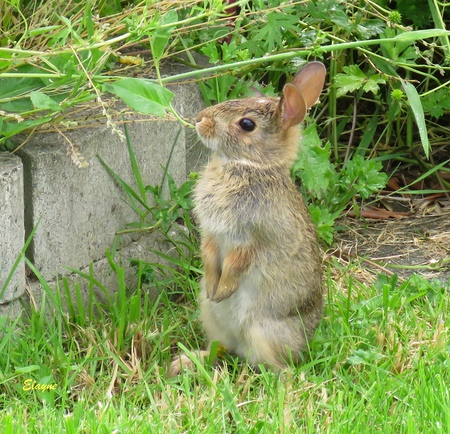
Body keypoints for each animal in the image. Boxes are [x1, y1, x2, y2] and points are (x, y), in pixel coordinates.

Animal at [170, 61, 326, 376]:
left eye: (246, 125)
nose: (200, 119)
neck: (251, 166)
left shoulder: (248, 237)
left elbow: (237, 263)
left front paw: (223, 290)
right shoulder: (211, 233)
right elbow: (209, 255)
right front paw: (213, 288)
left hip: (263, 331)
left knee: (277, 366)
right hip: (211, 318)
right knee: (221, 349)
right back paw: (185, 362)